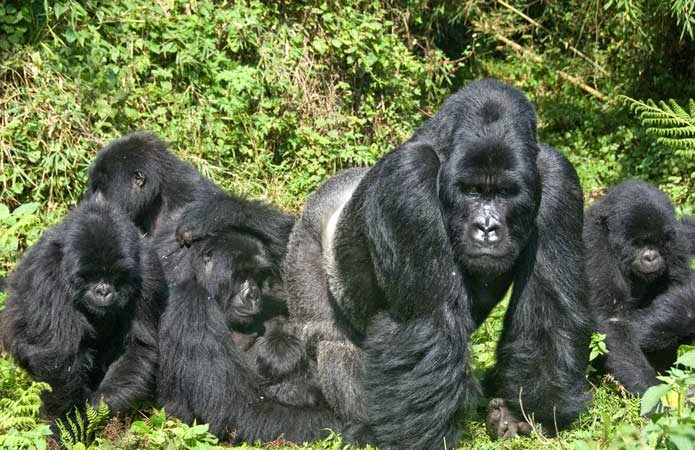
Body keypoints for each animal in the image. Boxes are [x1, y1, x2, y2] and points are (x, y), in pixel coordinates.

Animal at [0, 195, 167, 420]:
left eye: (115, 276)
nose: (103, 291)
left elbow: (138, 345)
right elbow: (59, 358)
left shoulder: (149, 271)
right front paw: (64, 423)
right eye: (91, 275)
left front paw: (97, 405)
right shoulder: (49, 272)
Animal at [282, 79, 592, 448]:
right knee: (331, 340)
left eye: (504, 193)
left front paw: (526, 413)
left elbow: (547, 308)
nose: (487, 228)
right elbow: (429, 321)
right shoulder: (408, 177)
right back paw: (364, 426)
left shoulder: (558, 177)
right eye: (472, 191)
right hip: (303, 243)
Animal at [584, 179, 695, 394]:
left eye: (658, 242)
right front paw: (653, 391)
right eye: (638, 242)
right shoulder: (593, 245)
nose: (651, 257)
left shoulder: (676, 239)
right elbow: (613, 319)